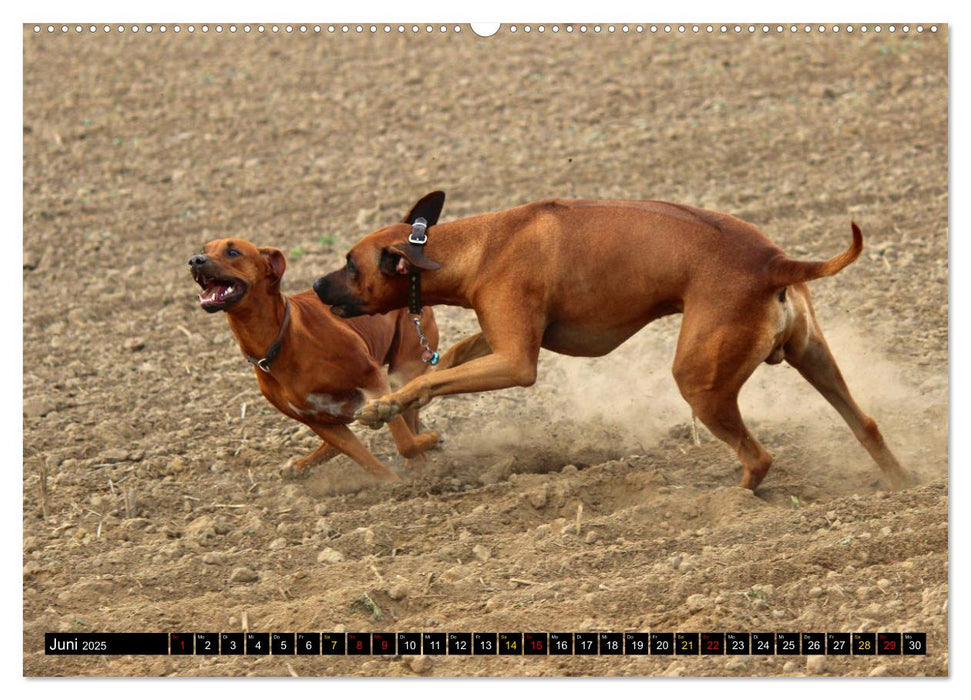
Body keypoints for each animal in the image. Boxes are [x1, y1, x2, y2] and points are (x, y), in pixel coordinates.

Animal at [187, 237, 444, 482]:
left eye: (233, 252)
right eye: (205, 249)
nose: (195, 260)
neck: (277, 343)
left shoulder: (372, 379)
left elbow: (404, 441)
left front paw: (428, 444)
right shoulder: (316, 421)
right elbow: (361, 455)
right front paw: (390, 482)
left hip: (404, 368)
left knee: (408, 415)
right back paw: (299, 466)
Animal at [312, 189, 912, 490]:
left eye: (349, 264)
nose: (315, 287)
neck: (472, 246)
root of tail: (772, 261)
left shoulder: (516, 360)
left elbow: (435, 378)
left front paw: (385, 406)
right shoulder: (504, 336)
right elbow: (449, 362)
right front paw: (404, 406)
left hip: (699, 380)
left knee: (759, 458)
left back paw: (728, 502)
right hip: (814, 357)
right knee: (865, 423)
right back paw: (904, 485)